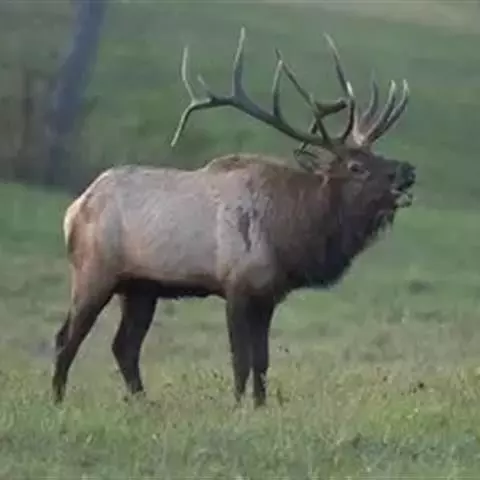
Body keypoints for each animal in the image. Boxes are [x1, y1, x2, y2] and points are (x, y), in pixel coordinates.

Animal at [52, 28, 415, 407]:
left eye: (377, 154)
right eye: (357, 166)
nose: (409, 171)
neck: (292, 234)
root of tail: (74, 209)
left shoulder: (268, 295)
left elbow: (263, 361)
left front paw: (259, 405)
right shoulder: (237, 287)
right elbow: (241, 359)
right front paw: (238, 406)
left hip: (141, 287)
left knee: (124, 346)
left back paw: (142, 404)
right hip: (95, 271)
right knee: (67, 337)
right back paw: (58, 400)